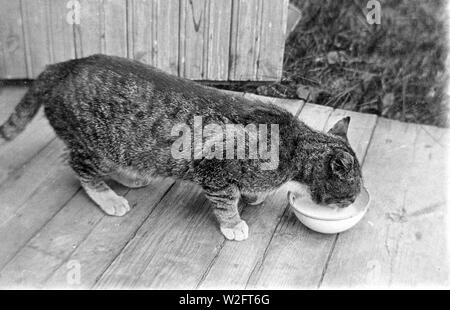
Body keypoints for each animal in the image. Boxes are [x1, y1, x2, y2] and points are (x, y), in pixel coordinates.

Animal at [0, 54, 360, 241]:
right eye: (352, 194)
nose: (352, 203)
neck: (294, 143)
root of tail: (66, 64)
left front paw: (254, 196)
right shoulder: (216, 172)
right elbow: (226, 203)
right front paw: (233, 224)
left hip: (121, 148)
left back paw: (130, 178)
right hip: (95, 147)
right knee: (80, 168)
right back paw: (109, 197)